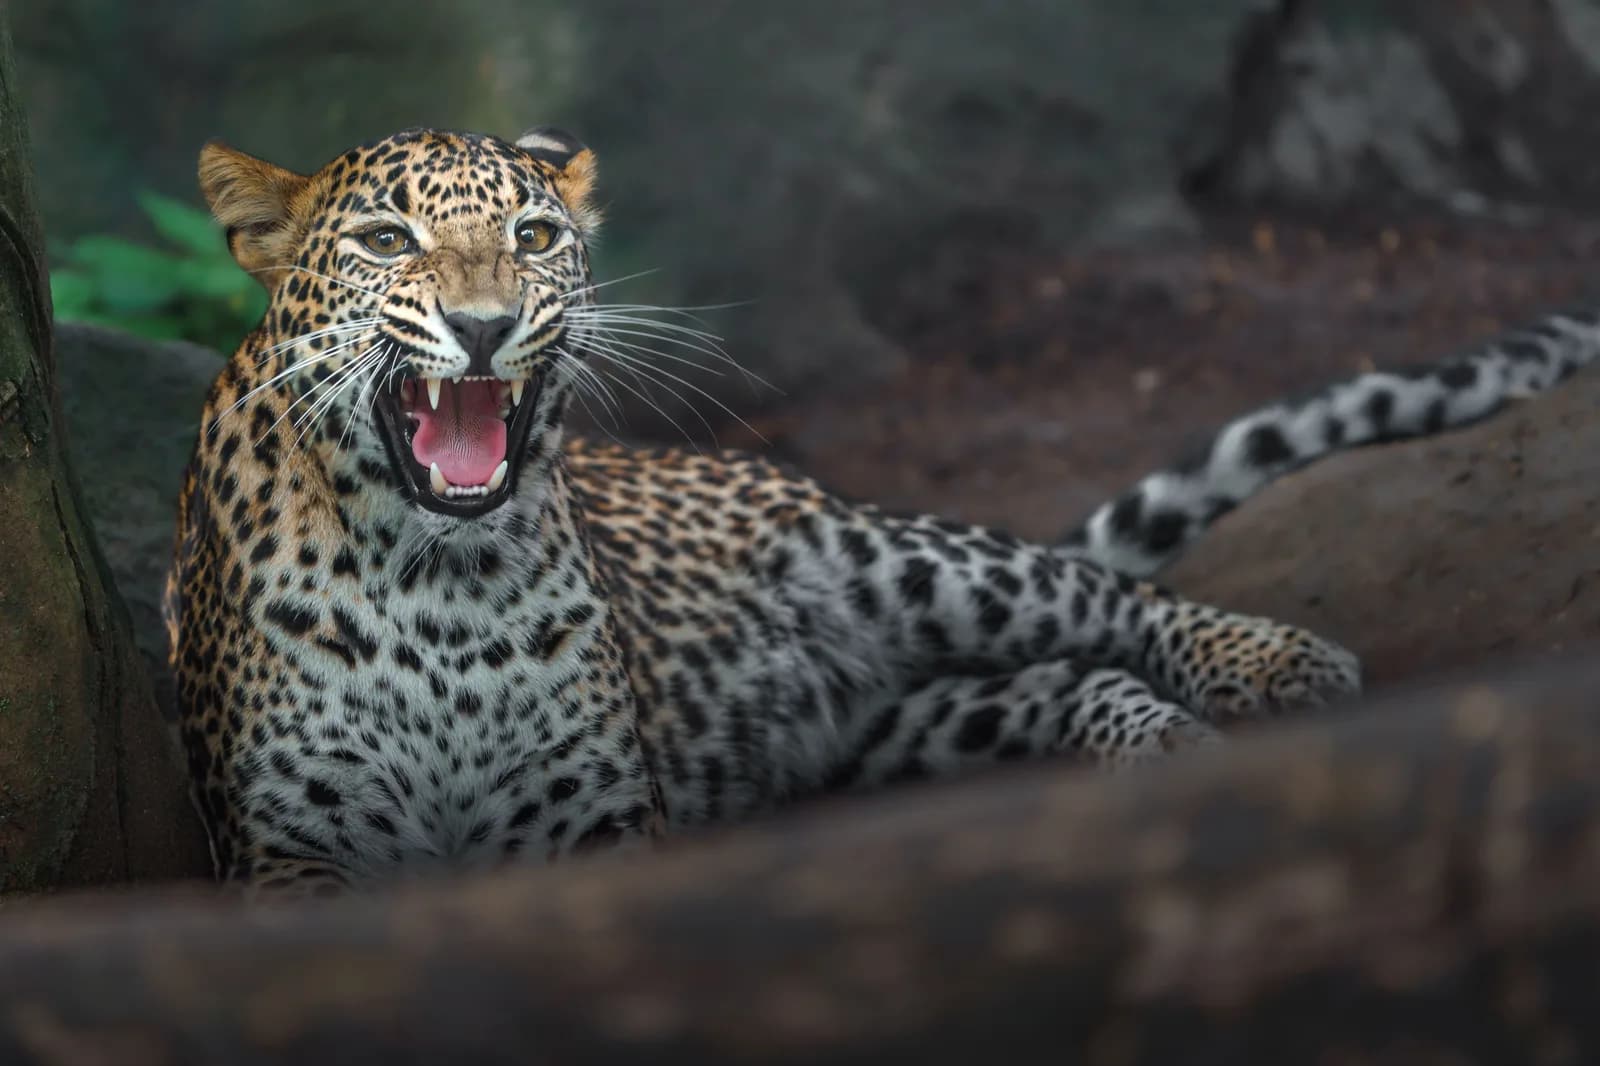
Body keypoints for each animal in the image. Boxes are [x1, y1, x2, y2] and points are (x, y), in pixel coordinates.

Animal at [165, 125, 1597, 897]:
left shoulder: (595, 820)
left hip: (899, 561)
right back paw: (1160, 749)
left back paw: (1271, 666)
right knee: (1061, 678)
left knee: (1108, 597)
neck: (441, 580)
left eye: (532, 235)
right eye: (385, 244)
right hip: (888, 730)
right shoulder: (295, 855)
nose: (482, 325)